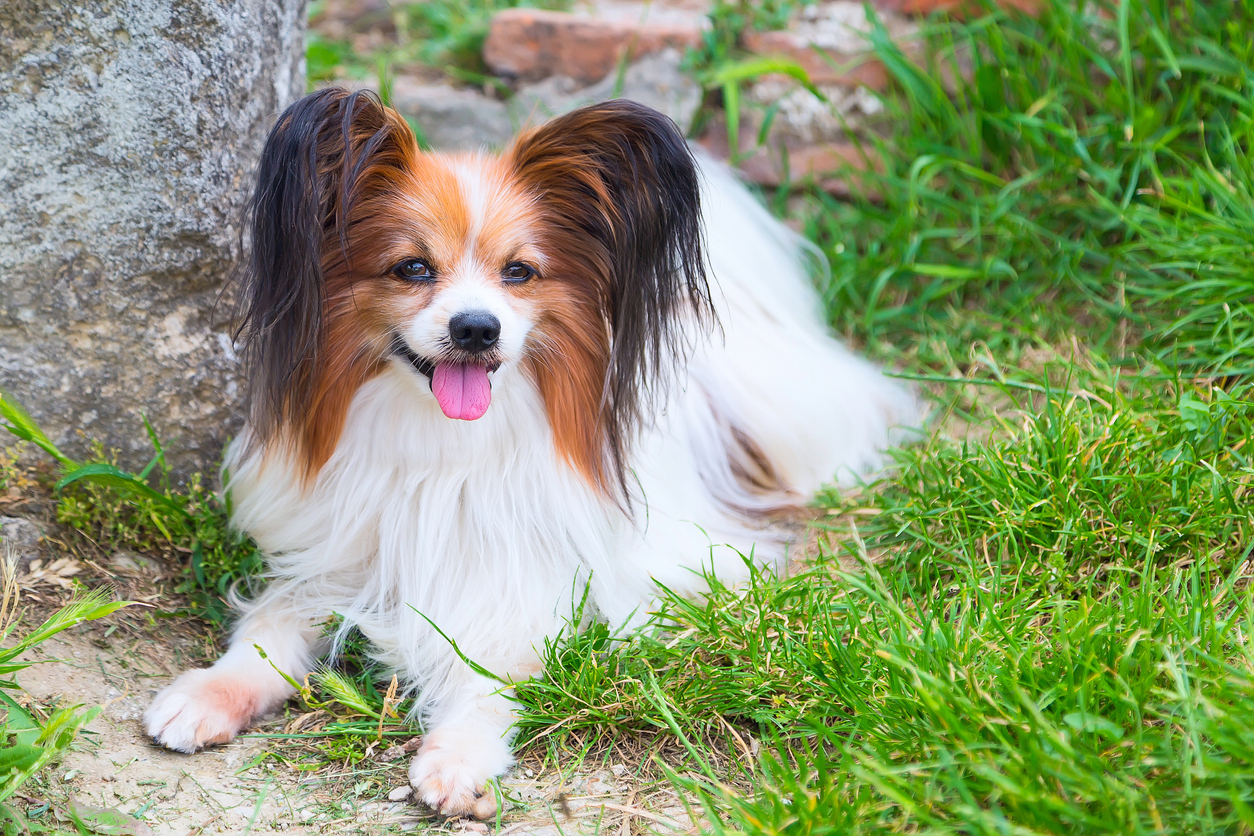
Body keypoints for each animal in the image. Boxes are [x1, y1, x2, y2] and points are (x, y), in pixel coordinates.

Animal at [144, 88, 912, 822]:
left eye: (520, 272)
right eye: (412, 268)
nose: (476, 328)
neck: (443, 443)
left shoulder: (531, 584)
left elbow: (489, 670)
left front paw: (458, 757)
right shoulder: (337, 556)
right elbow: (269, 629)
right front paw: (211, 691)